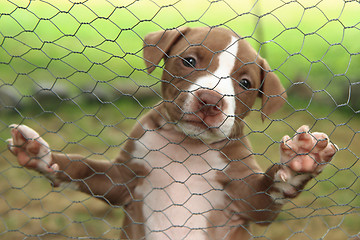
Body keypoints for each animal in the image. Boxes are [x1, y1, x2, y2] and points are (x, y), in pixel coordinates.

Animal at [6, 27, 338, 239]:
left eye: (245, 83)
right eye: (189, 61)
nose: (210, 100)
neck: (187, 144)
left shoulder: (245, 200)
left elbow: (269, 191)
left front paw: (300, 161)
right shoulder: (122, 179)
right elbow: (83, 167)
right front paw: (39, 153)